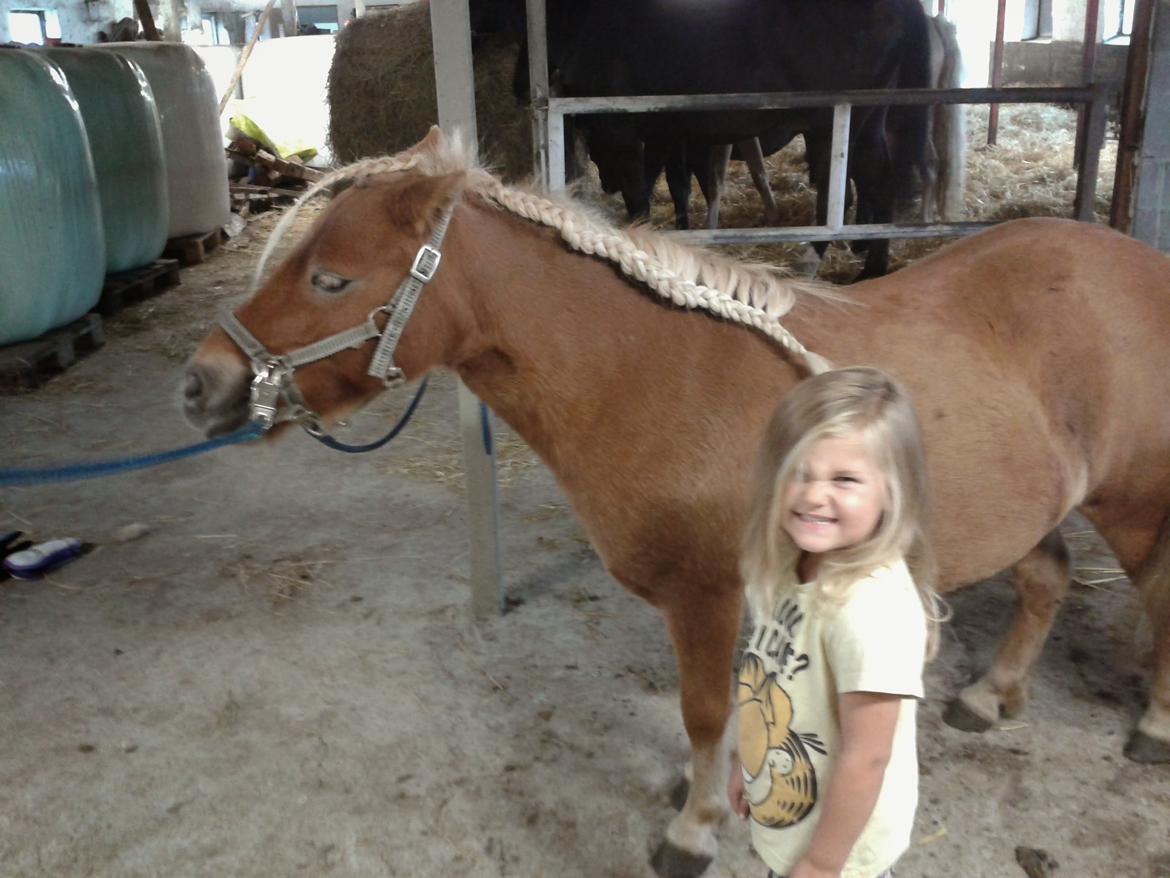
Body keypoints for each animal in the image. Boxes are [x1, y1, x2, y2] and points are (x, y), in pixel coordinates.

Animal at [182, 128, 1170, 878]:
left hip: (1136, 505)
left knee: (1155, 597)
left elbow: (703, 711)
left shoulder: (705, 594)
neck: (649, 372)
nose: (202, 386)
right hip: (1029, 510)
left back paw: (1152, 724)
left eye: (331, 280)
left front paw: (693, 831)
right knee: (1046, 580)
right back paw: (991, 696)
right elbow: (726, 709)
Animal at [475, 0, 931, 278]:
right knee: (875, 183)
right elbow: (667, 188)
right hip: (862, 124)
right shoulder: (664, 135)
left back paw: (823, 263)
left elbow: (638, 201)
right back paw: (866, 261)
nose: (519, 87)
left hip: (837, 123)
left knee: (850, 191)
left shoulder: (623, 134)